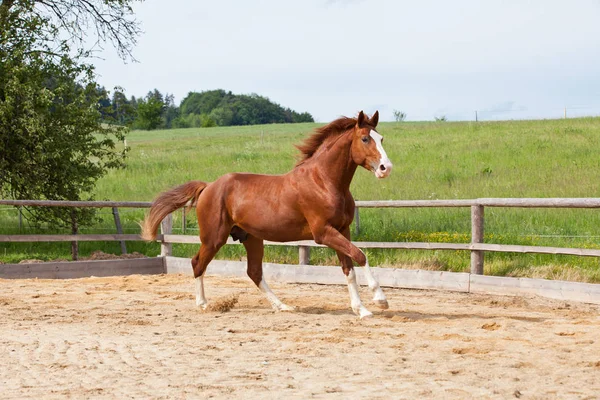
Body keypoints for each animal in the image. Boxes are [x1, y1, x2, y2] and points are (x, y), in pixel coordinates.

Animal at [141, 110, 394, 318]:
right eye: (365, 138)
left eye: (381, 138)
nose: (386, 168)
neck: (324, 182)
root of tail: (208, 186)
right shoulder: (323, 233)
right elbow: (360, 255)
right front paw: (380, 300)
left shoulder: (342, 230)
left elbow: (348, 268)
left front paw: (361, 310)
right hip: (214, 238)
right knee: (197, 264)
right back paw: (203, 304)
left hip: (251, 238)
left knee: (254, 272)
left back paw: (283, 306)